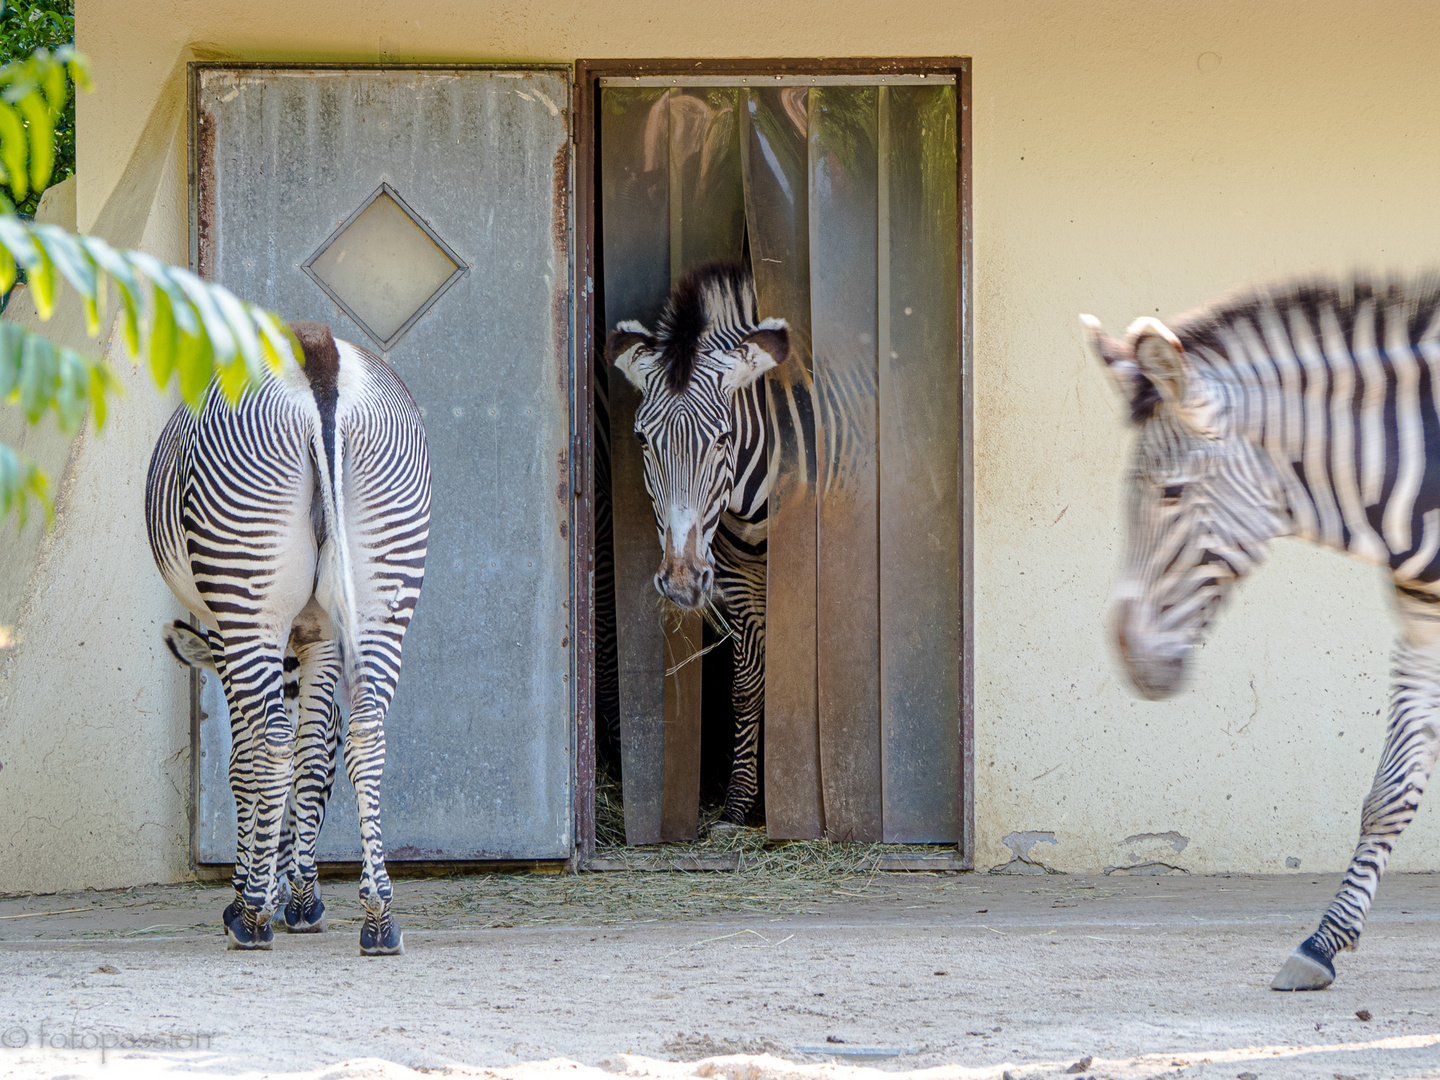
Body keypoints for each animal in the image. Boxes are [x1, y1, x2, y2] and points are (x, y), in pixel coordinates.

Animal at [146, 321, 429, 956]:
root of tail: (316, 350)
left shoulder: (224, 635)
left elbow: (246, 763)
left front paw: (260, 892)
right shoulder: (319, 632)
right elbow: (317, 755)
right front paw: (301, 895)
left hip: (245, 589)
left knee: (273, 742)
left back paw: (251, 918)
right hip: (385, 582)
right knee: (364, 733)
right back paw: (379, 921)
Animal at [604, 266, 794, 823]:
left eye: (724, 437)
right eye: (642, 440)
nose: (682, 582)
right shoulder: (736, 579)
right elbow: (747, 685)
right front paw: (738, 804)